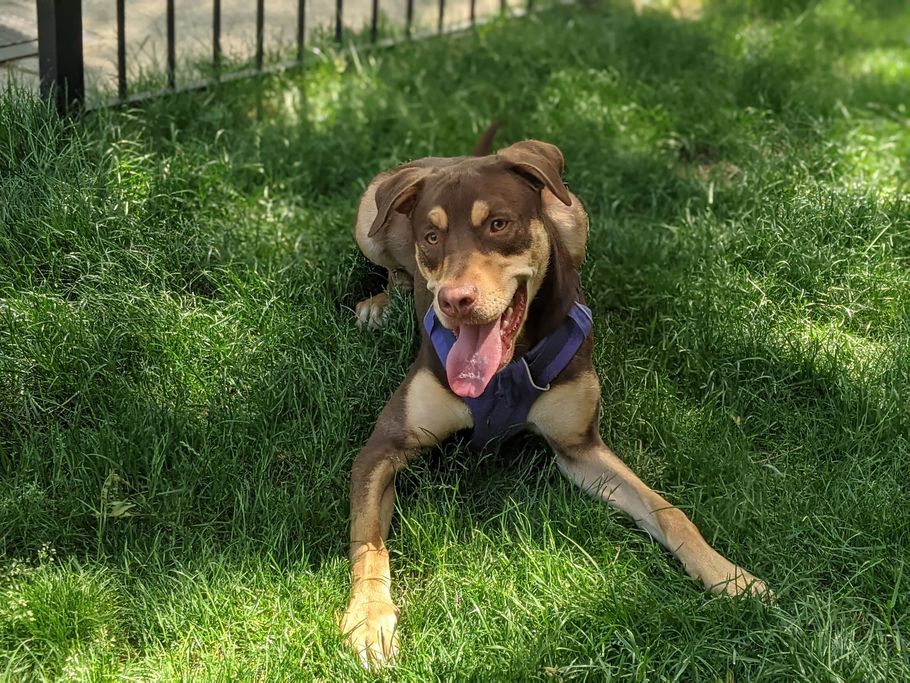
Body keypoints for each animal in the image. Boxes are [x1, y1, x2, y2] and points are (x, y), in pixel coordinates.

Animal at [342, 130, 768, 668]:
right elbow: (368, 543)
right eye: (432, 237)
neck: (507, 370)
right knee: (394, 271)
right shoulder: (383, 447)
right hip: (368, 217)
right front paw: (368, 619)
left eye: (499, 224)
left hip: (573, 215)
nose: (454, 301)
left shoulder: (579, 448)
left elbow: (668, 511)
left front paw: (727, 574)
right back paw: (380, 303)